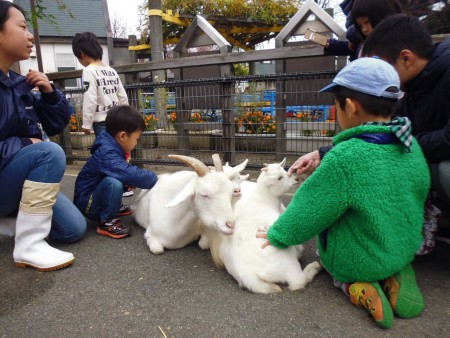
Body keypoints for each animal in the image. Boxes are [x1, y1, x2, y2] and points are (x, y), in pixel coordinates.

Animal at [209, 158, 322, 294]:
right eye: (279, 178)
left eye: (285, 171)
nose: (296, 179)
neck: (264, 200)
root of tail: (250, 277)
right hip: (288, 263)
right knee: (298, 281)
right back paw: (315, 267)